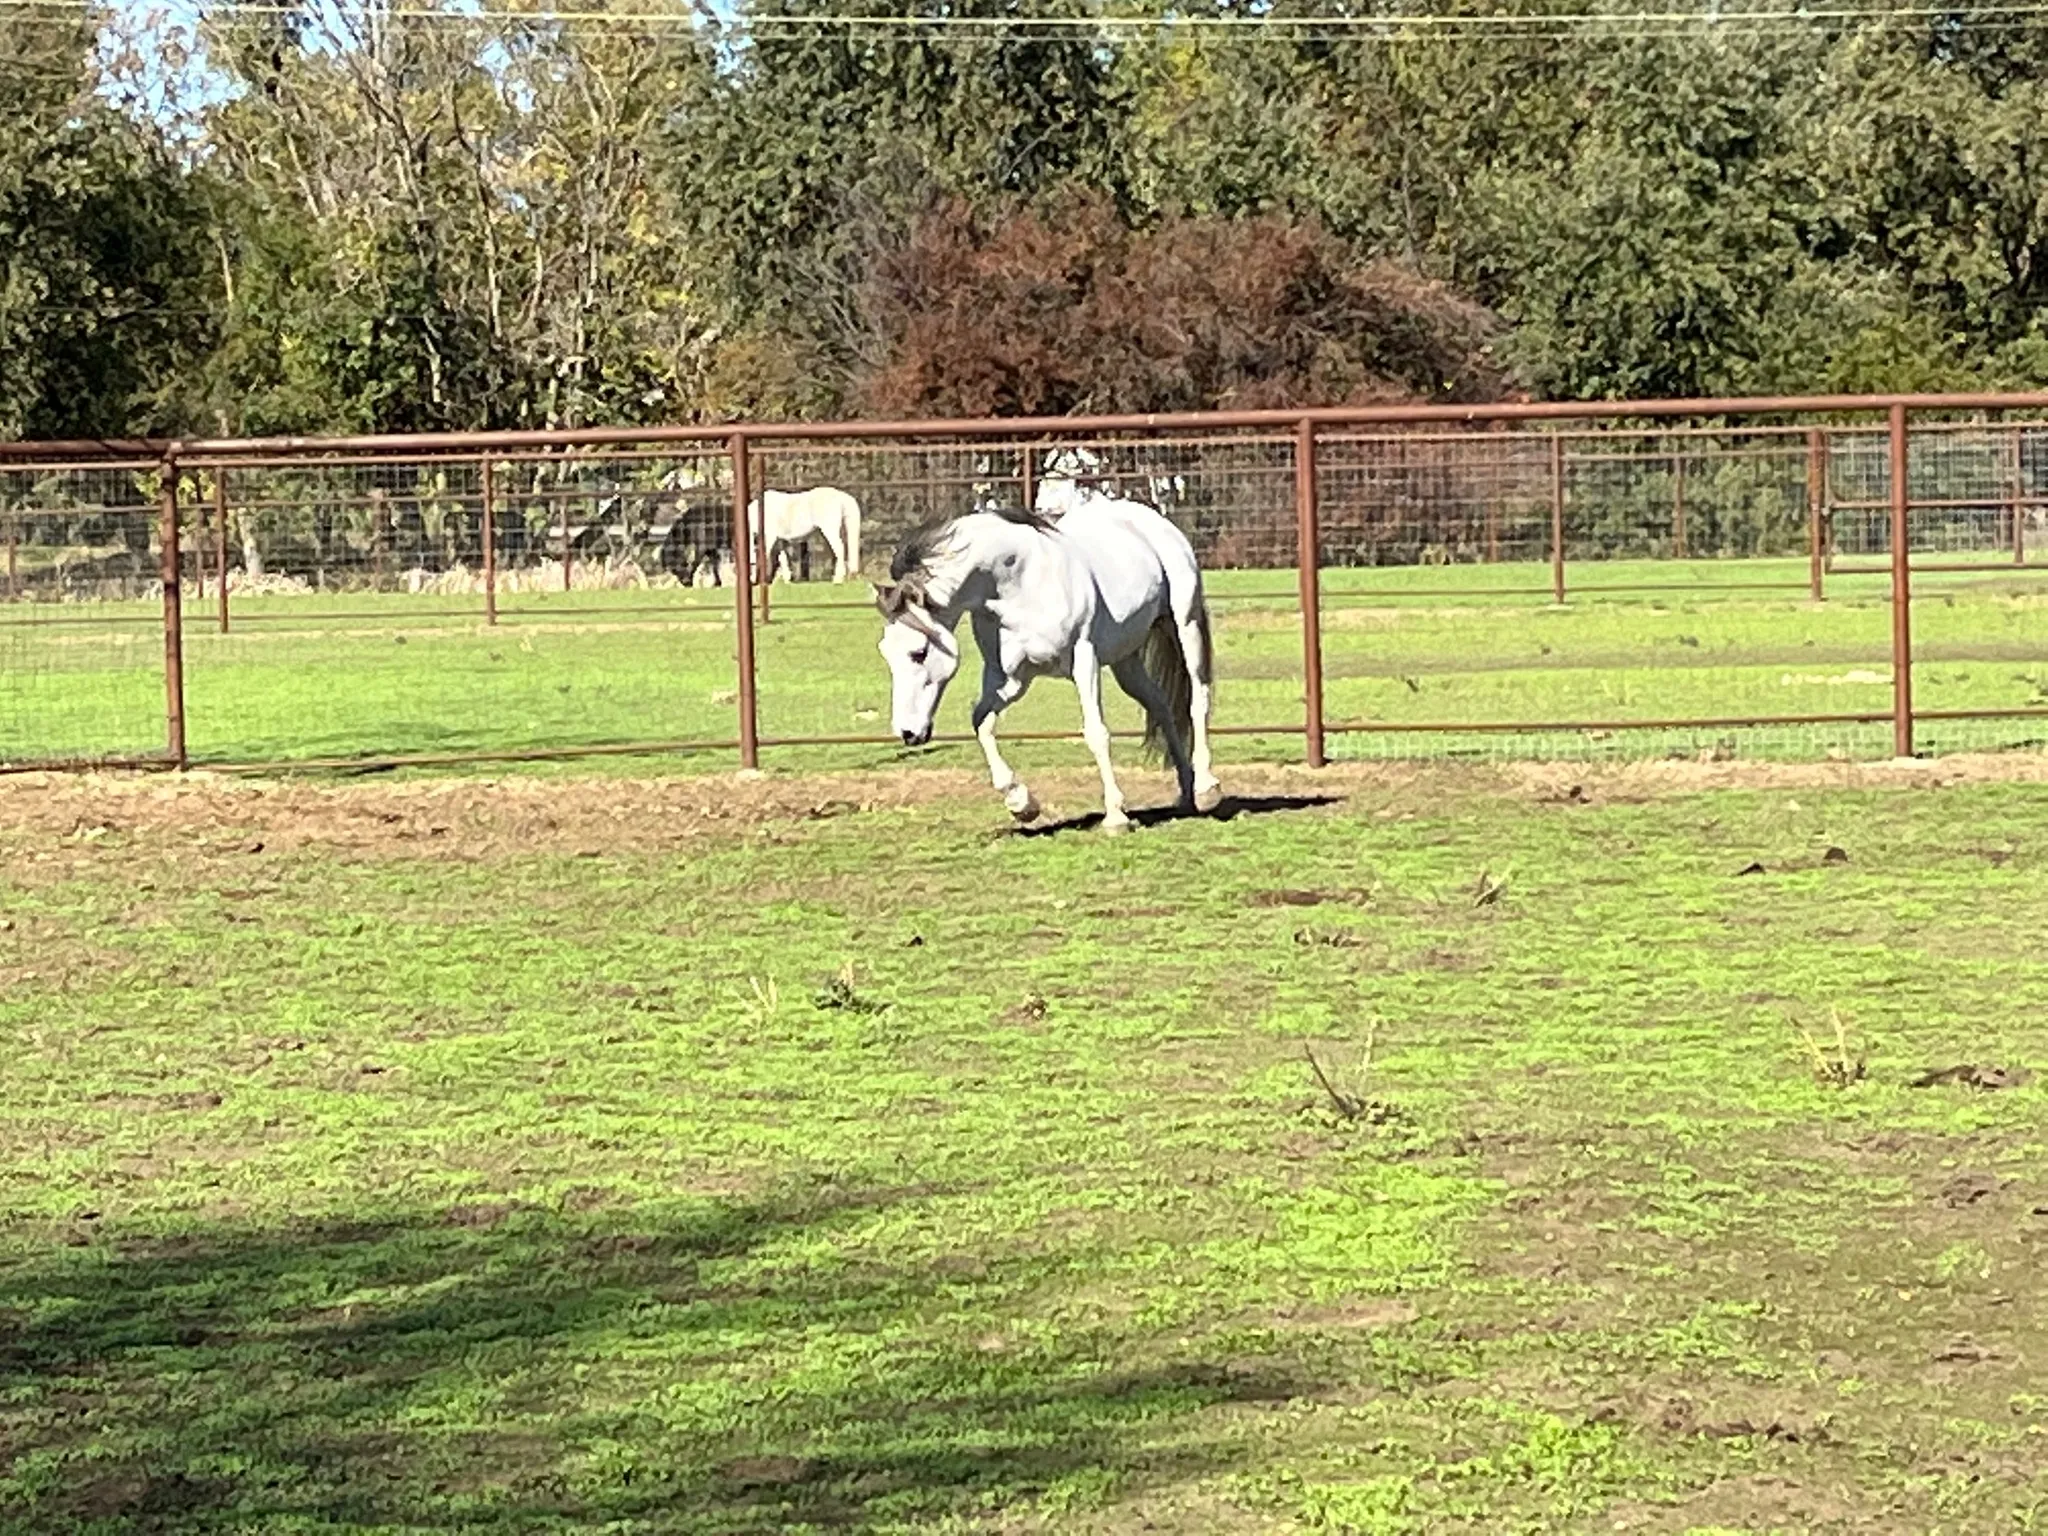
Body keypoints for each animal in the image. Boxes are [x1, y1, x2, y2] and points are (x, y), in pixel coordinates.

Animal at [873, 499, 1221, 834]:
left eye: (918, 653)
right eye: (885, 653)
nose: (907, 733)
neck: (1014, 582)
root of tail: (1152, 520)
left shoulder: (1084, 659)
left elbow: (1096, 732)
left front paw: (1116, 817)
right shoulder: (1008, 678)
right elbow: (981, 722)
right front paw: (1021, 804)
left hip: (1184, 623)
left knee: (1197, 698)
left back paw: (1206, 789)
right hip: (1125, 658)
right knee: (1160, 705)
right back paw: (1186, 791)